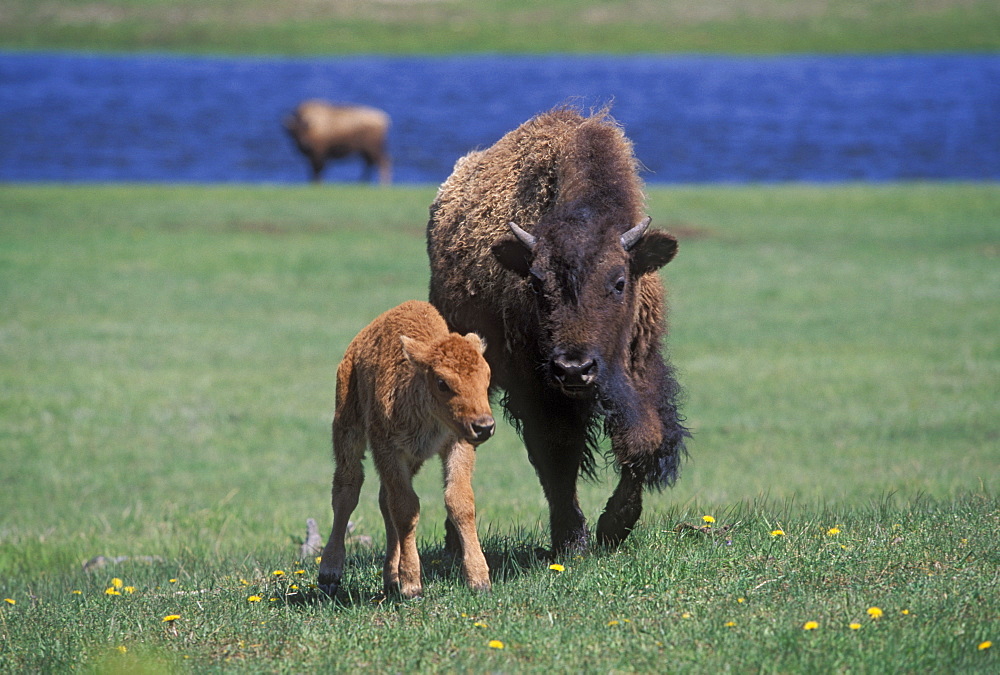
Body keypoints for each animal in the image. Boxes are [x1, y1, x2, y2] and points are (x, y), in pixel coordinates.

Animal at [318, 304, 494, 600]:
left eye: (487, 376)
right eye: (442, 382)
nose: (484, 427)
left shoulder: (457, 445)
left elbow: (458, 502)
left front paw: (479, 580)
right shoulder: (388, 449)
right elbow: (406, 507)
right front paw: (412, 585)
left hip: (412, 460)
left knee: (383, 500)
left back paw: (390, 578)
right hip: (347, 429)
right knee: (346, 492)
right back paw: (329, 574)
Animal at [426, 108, 692, 556]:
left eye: (619, 281)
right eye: (535, 283)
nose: (574, 369)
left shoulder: (639, 371)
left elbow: (643, 441)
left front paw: (614, 527)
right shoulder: (537, 391)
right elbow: (557, 457)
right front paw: (573, 541)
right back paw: (453, 543)